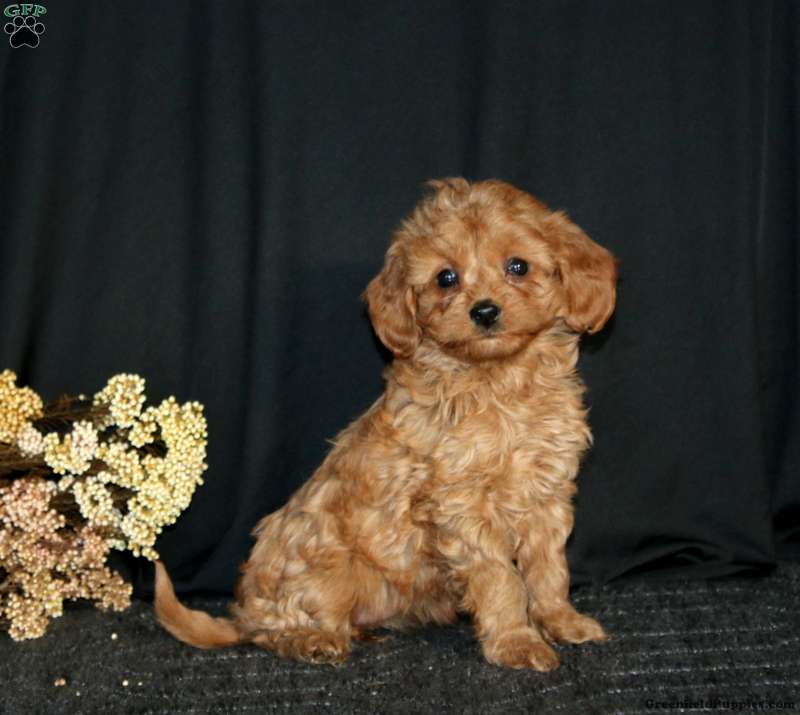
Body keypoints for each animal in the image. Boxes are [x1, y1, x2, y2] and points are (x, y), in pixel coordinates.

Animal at [154, 178, 617, 670]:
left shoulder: (549, 494)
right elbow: (501, 579)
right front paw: (516, 641)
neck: (499, 380)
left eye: (518, 266)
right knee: (272, 629)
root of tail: (241, 612)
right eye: (446, 277)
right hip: (326, 577)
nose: (485, 311)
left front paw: (561, 621)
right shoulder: (462, 505)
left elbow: (549, 569)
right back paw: (312, 639)